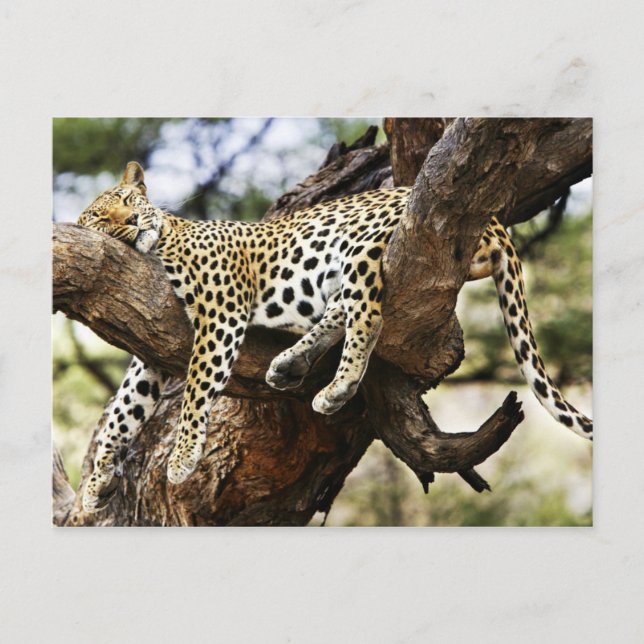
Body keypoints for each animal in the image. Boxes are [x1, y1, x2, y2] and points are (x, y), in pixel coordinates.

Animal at [76, 161, 593, 513]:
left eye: (128, 202)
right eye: (100, 218)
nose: (131, 223)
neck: (163, 241)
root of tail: (496, 222)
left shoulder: (220, 313)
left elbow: (197, 389)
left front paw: (182, 457)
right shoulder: (150, 349)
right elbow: (123, 410)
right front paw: (96, 480)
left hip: (361, 243)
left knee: (368, 315)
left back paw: (336, 387)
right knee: (342, 308)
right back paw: (291, 363)